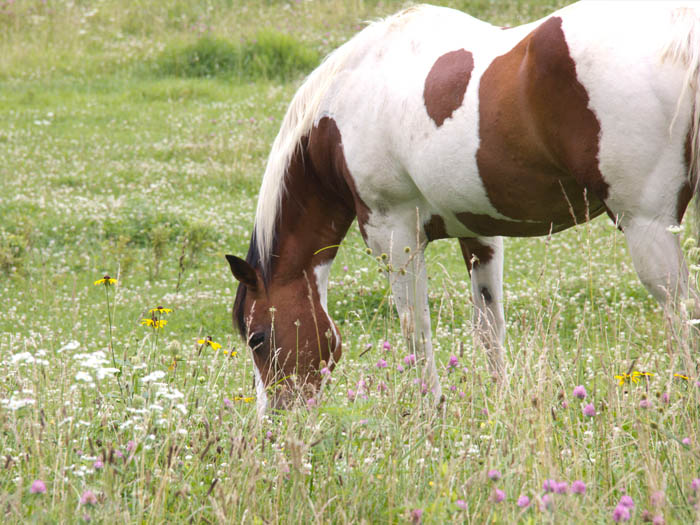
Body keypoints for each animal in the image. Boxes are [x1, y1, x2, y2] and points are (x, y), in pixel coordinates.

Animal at [226, 1, 700, 415]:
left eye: (257, 339)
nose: (272, 419)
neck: (344, 108)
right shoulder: (480, 231)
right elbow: (489, 326)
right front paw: (500, 406)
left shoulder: (394, 235)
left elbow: (415, 330)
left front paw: (430, 413)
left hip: (647, 228)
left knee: (682, 311)